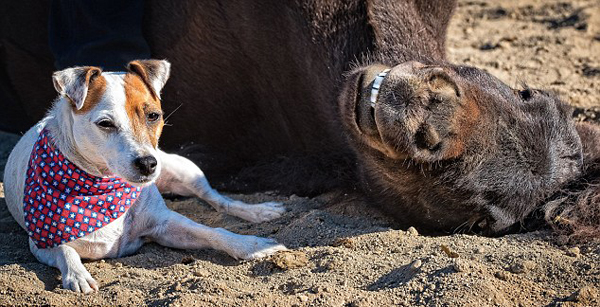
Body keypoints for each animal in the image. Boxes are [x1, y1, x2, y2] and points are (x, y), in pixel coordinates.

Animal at [2, 59, 288, 294]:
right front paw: (77, 275)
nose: (149, 163)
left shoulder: (166, 223)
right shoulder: (42, 245)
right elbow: (65, 251)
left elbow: (213, 232)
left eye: (153, 116)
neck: (104, 187)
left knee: (218, 200)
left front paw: (251, 244)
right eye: (105, 124)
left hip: (185, 171)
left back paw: (259, 212)